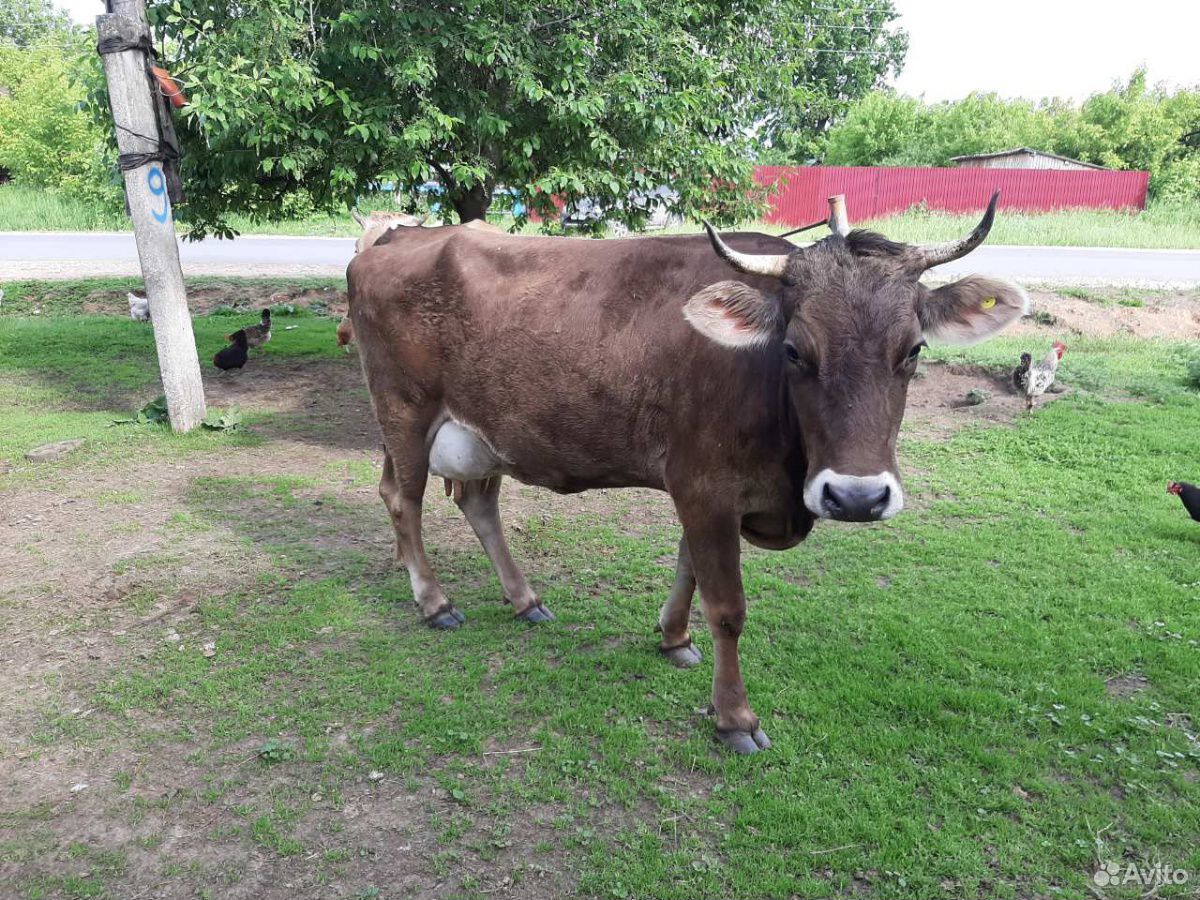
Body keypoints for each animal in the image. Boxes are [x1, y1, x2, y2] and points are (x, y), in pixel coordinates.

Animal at [345, 196, 1022, 753]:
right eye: (795, 350)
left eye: (913, 350)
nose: (857, 497)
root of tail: (395, 240)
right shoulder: (703, 485)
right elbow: (726, 605)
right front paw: (735, 719)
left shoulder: (703, 486)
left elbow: (687, 566)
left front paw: (672, 639)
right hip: (403, 411)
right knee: (403, 499)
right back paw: (434, 603)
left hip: (485, 432)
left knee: (475, 501)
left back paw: (524, 600)